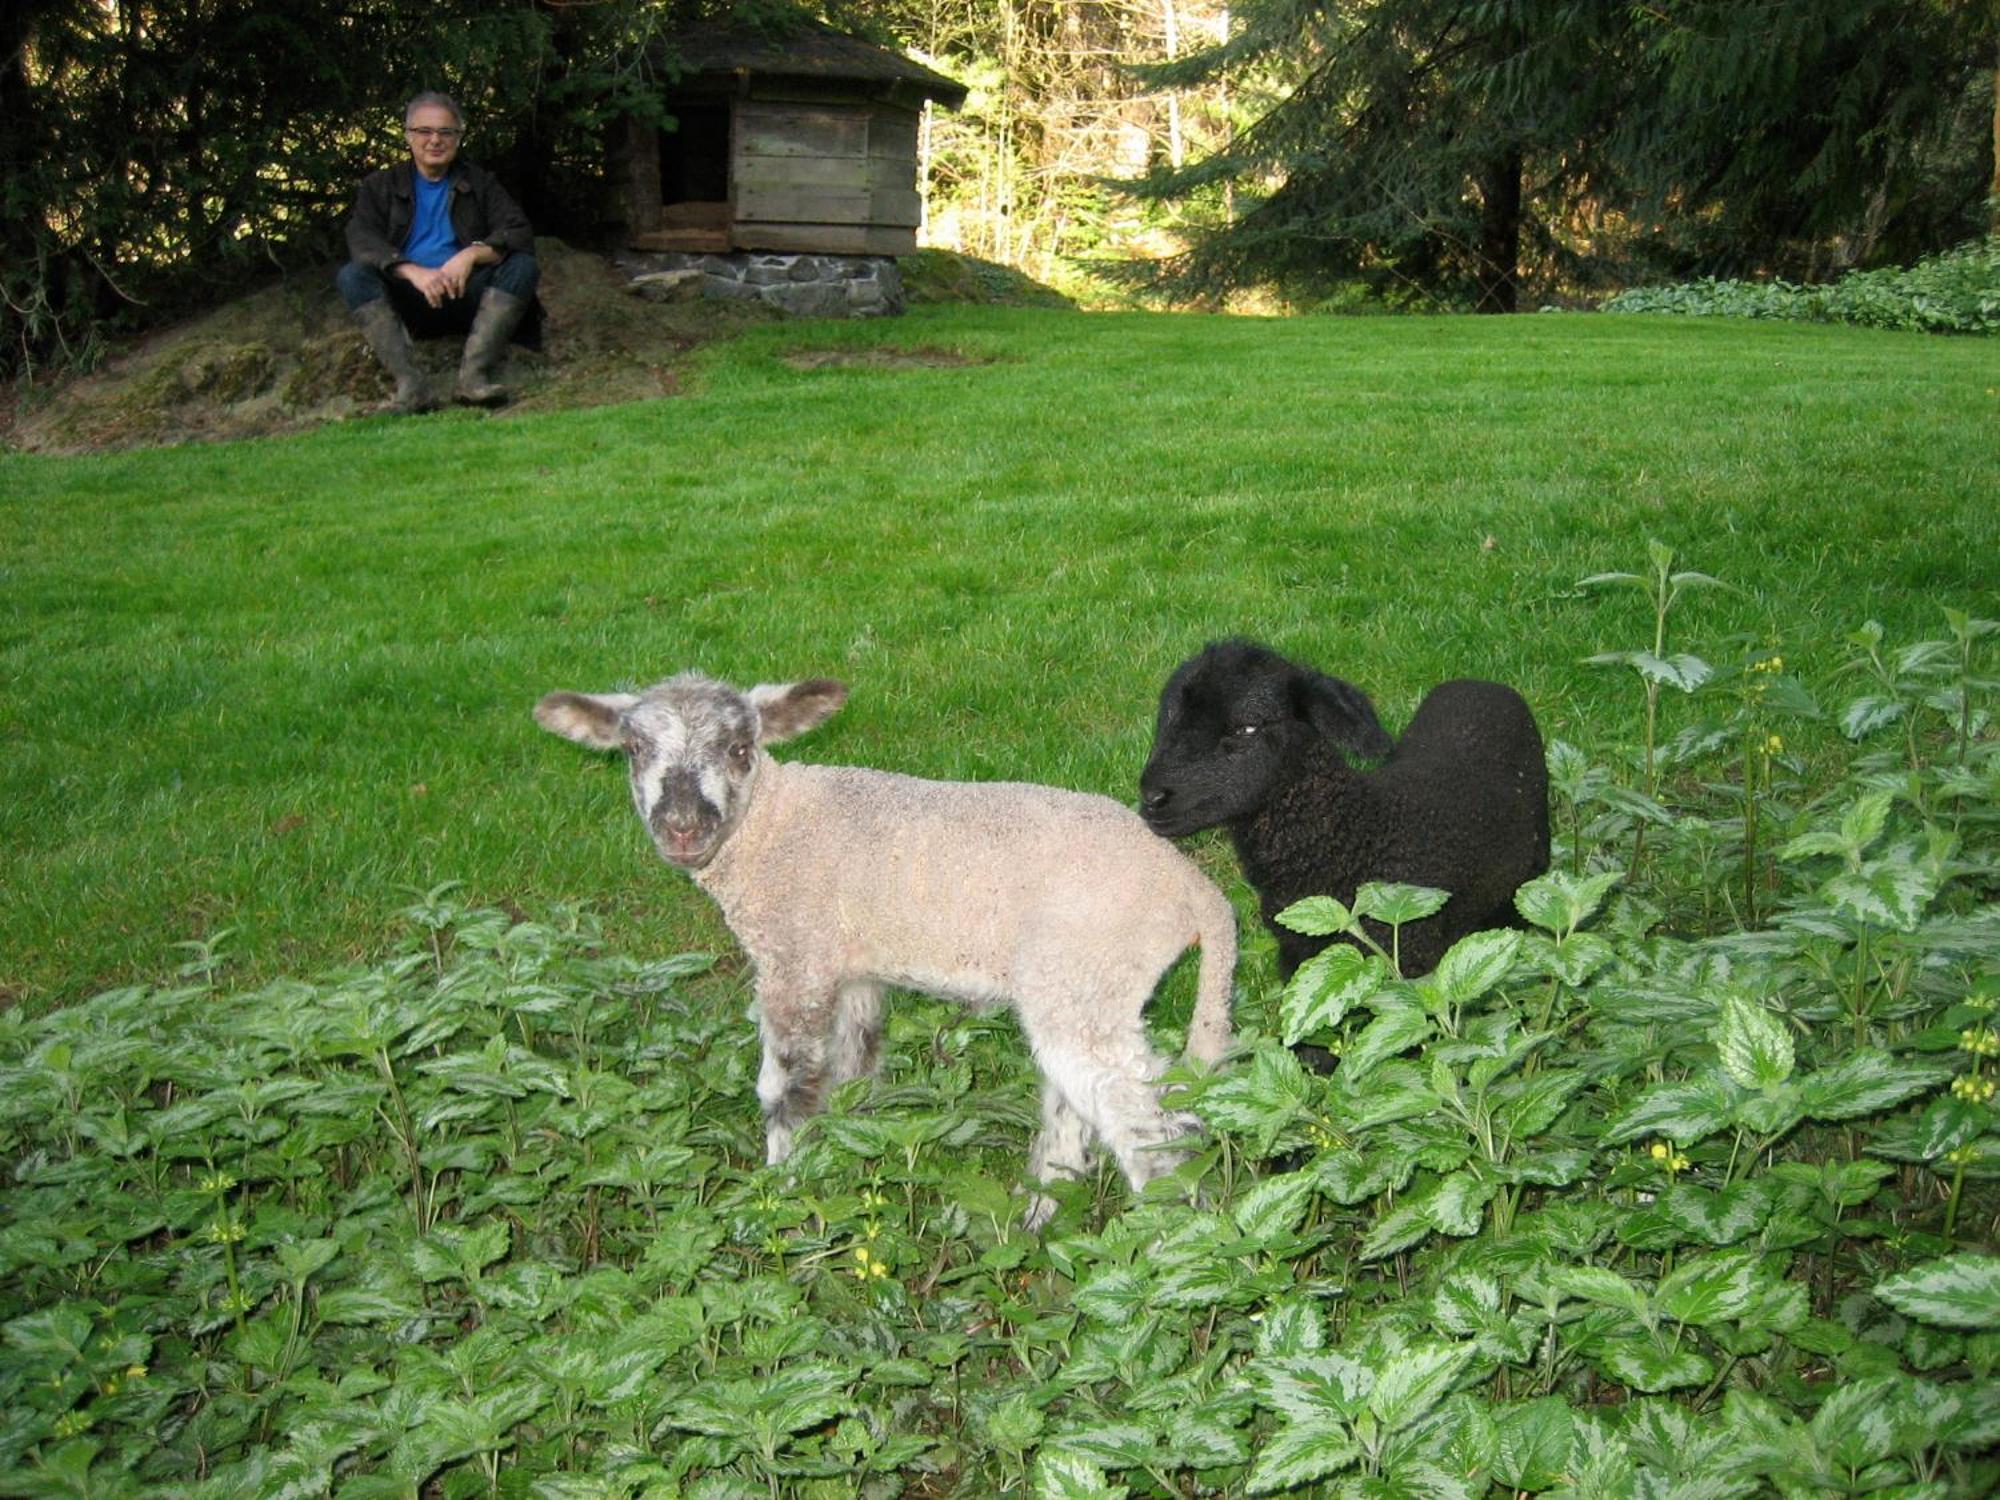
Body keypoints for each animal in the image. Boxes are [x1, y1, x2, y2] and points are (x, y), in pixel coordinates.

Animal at [536, 676, 1232, 1224]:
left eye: (739, 748)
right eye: (633, 750)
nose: (682, 828)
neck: (773, 826)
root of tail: (1195, 891)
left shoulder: (796, 958)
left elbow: (786, 1088)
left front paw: (782, 1195)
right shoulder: (851, 969)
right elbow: (855, 1068)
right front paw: (849, 1157)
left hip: (1088, 966)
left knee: (1142, 1120)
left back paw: (1170, 1241)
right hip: (1078, 980)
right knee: (1077, 1105)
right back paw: (1037, 1213)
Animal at [1144, 640, 1544, 980]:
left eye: (1247, 727)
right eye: (1167, 718)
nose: (1151, 796)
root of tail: (1485, 683)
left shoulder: (1404, 965)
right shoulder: (1301, 954)